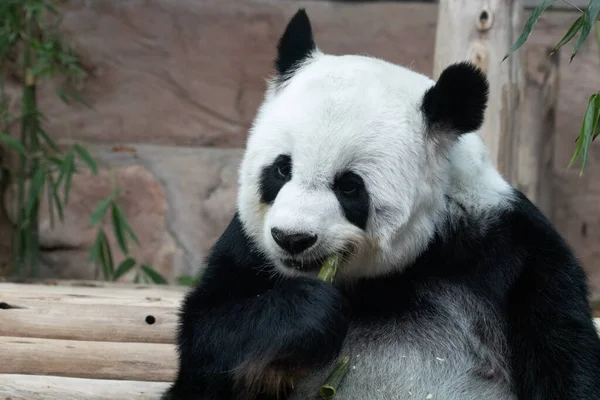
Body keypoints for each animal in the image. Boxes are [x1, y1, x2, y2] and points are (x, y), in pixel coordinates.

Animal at [163, 9, 600, 400]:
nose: (292, 239)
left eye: (349, 187)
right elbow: (207, 331)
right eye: (281, 170)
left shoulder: (508, 247)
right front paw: (310, 312)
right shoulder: (249, 247)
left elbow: (564, 354)